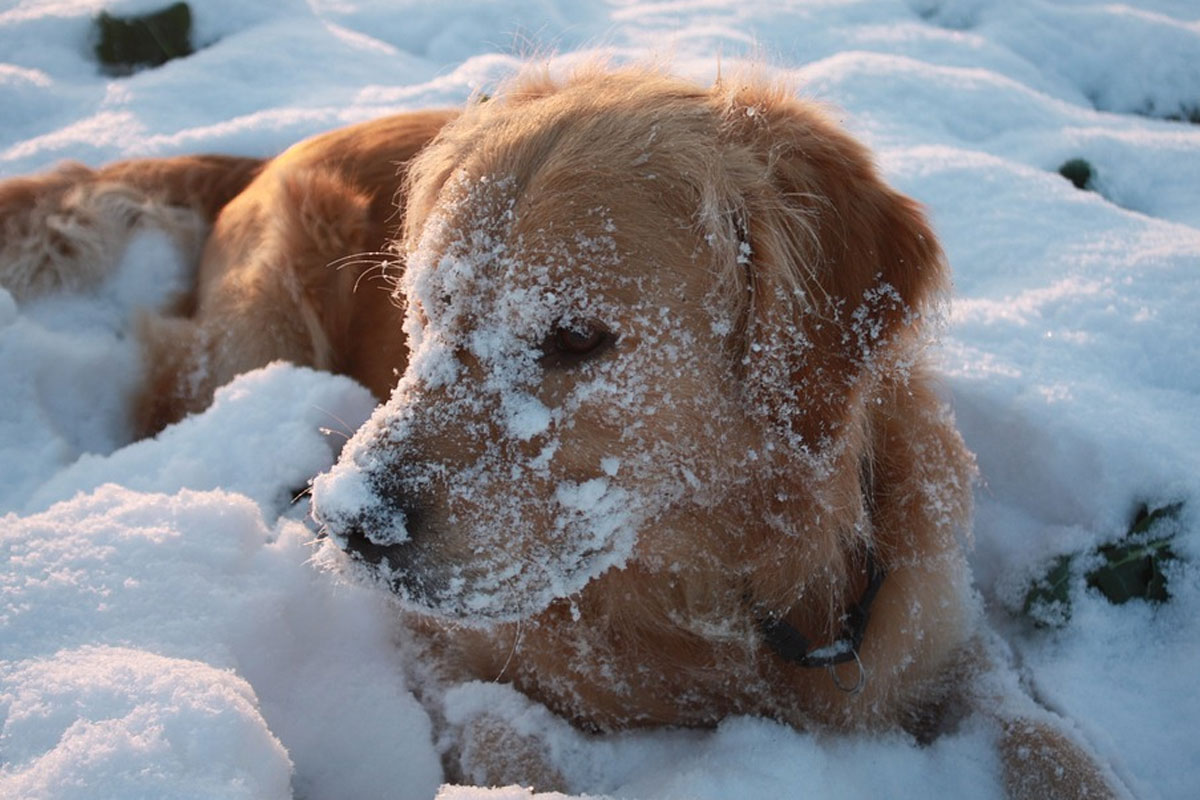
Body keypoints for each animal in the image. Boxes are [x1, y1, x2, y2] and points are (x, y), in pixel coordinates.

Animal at [0, 65, 1123, 796]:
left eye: (576, 336)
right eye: (423, 310)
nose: (353, 525)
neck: (719, 589)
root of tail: (274, 147)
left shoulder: (941, 636)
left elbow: (1054, 744)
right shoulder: (439, 652)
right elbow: (515, 749)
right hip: (257, 335)